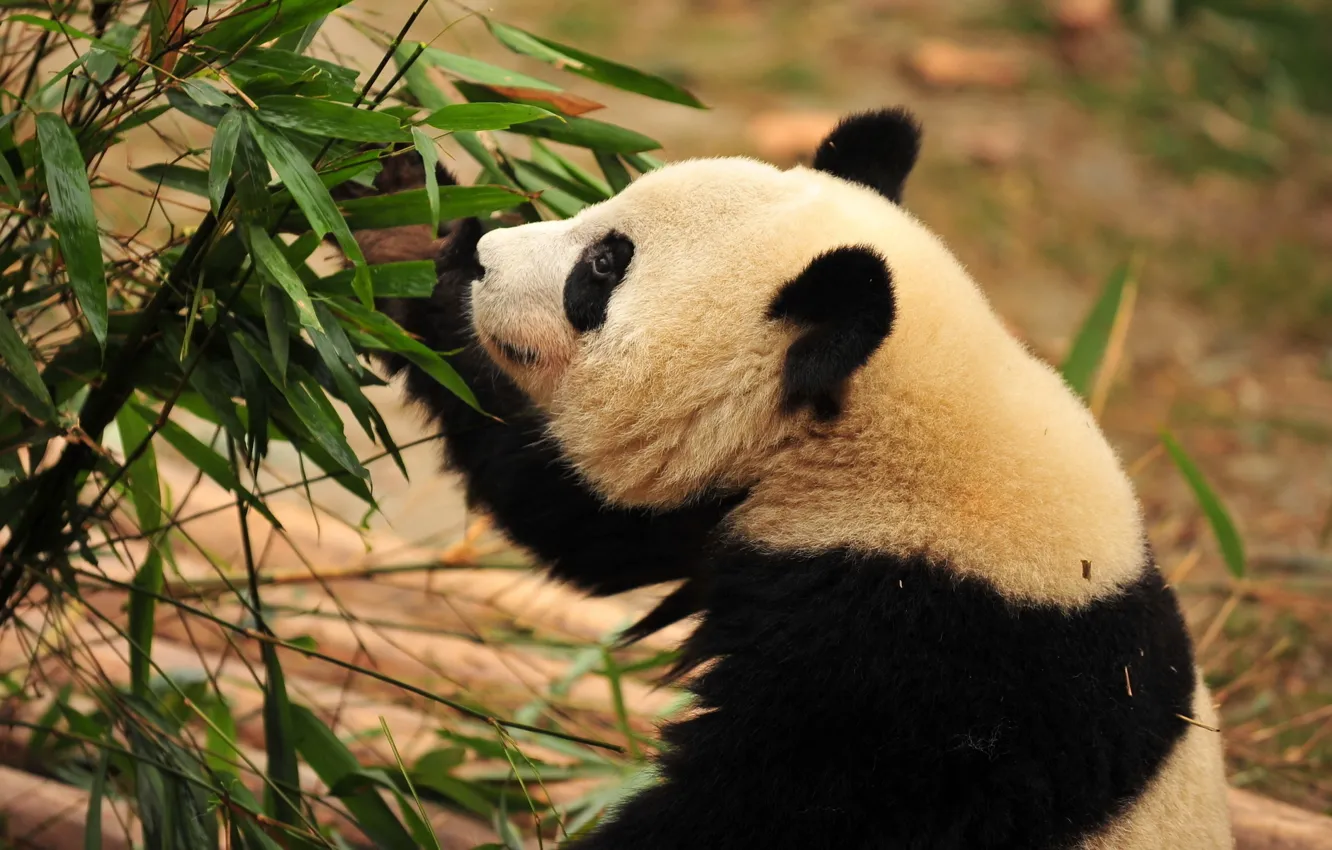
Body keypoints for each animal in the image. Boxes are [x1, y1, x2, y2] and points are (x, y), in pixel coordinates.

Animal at [336, 109, 1234, 849]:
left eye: (603, 265)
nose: (490, 261)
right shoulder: (742, 505)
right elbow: (582, 522)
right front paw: (400, 221)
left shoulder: (921, 670)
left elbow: (762, 811)